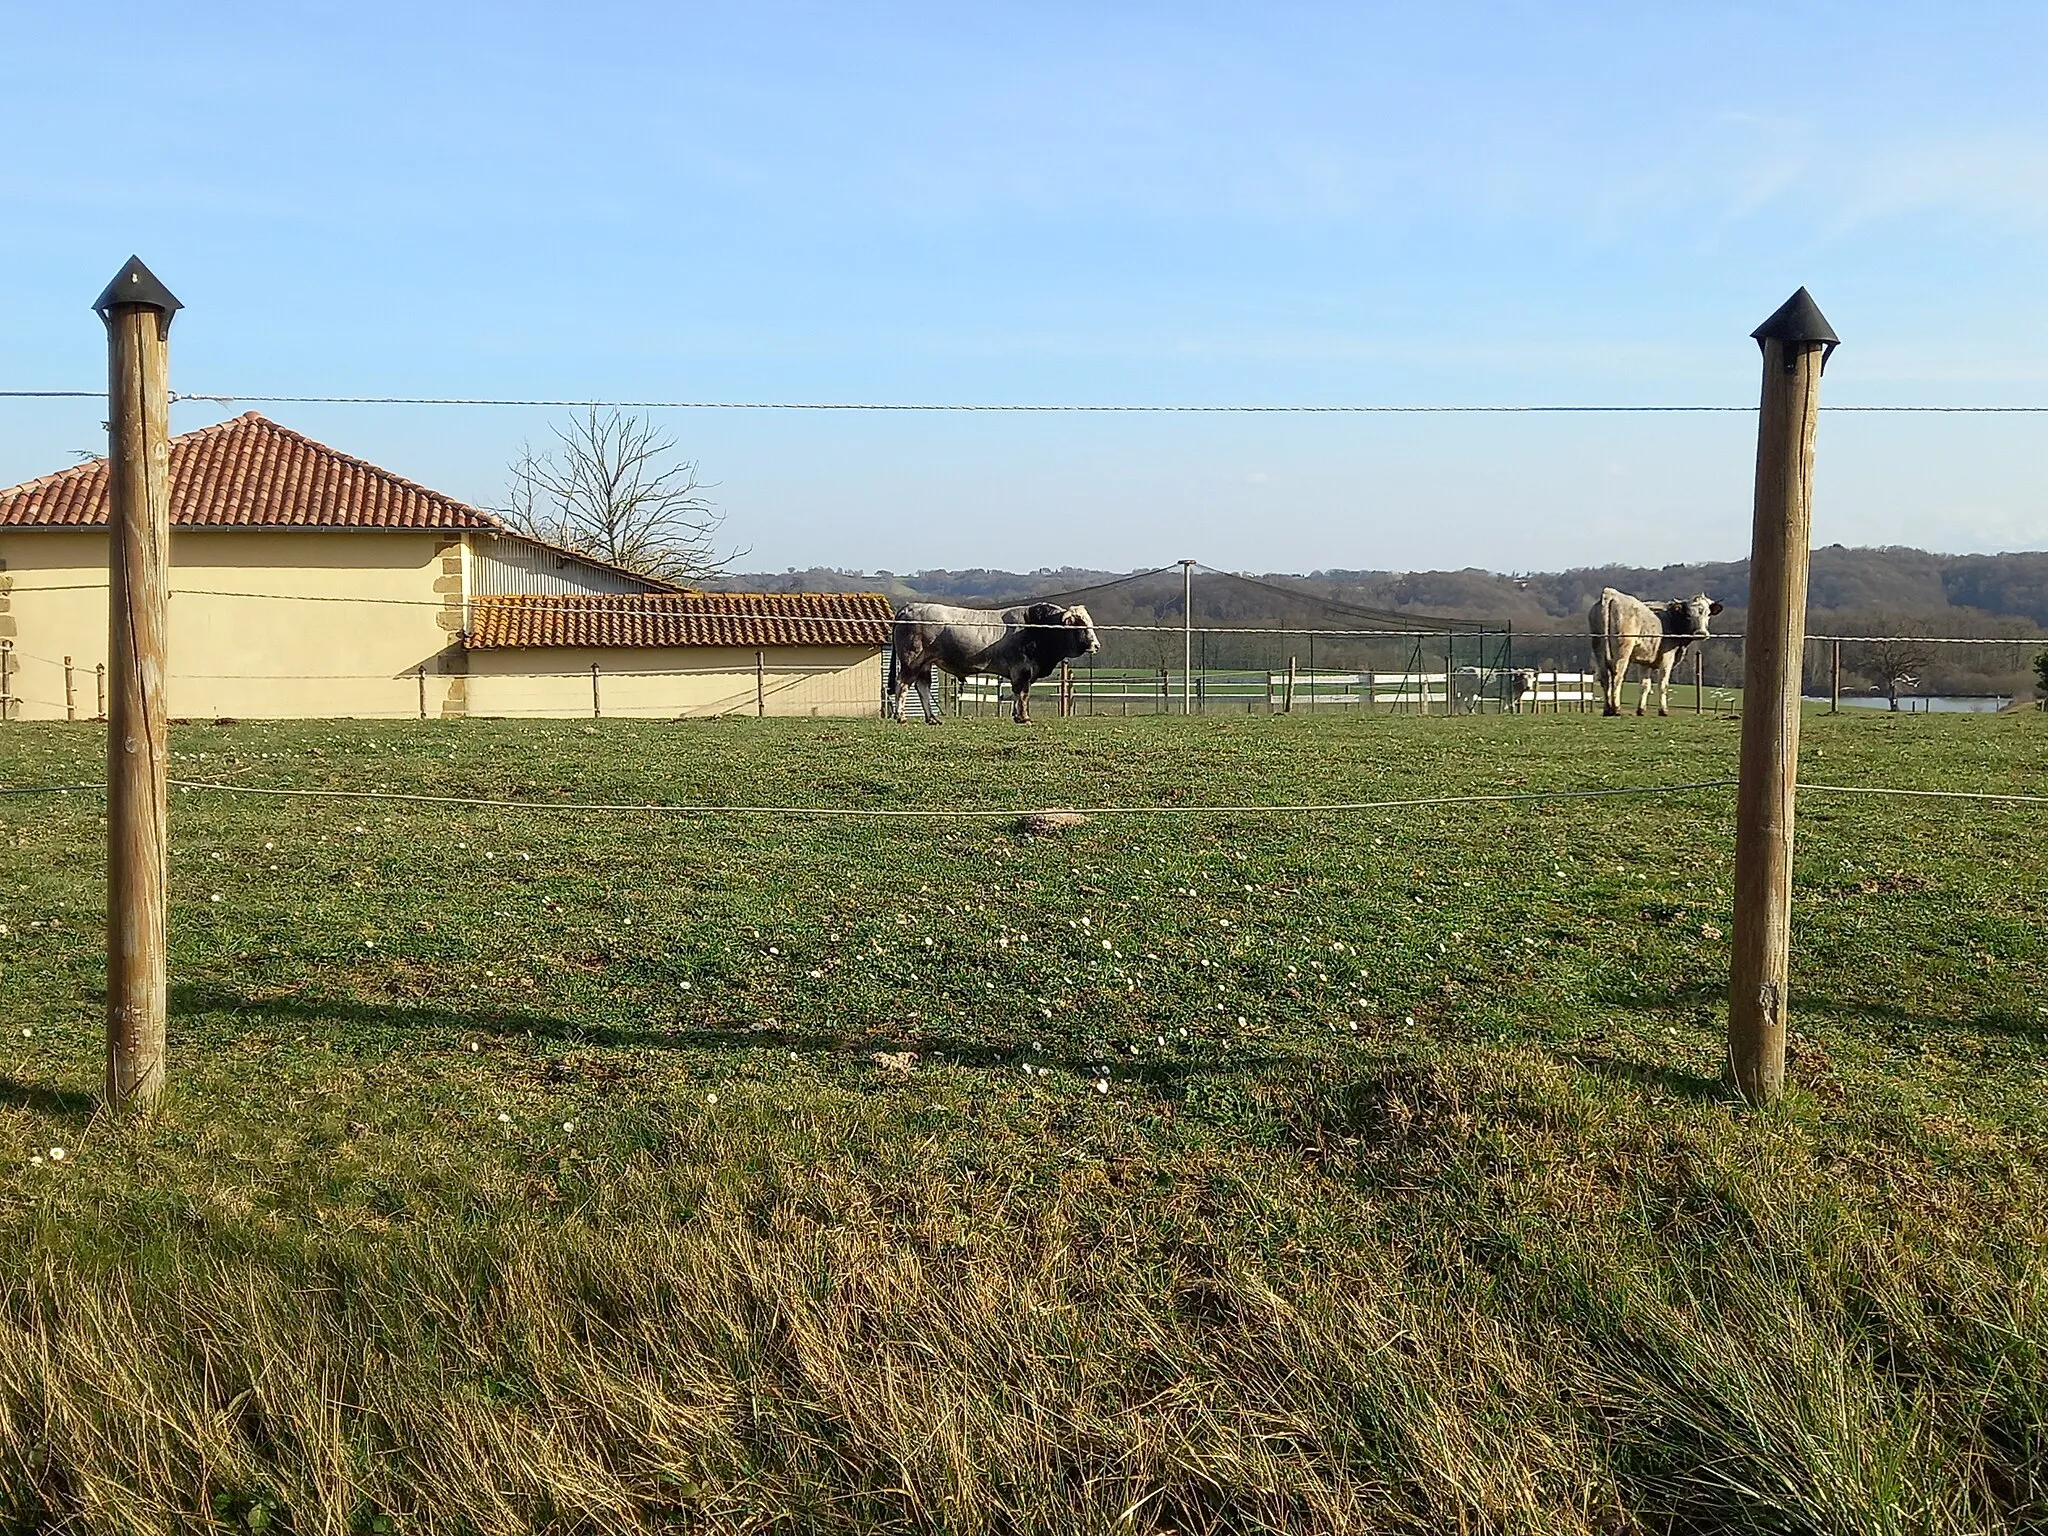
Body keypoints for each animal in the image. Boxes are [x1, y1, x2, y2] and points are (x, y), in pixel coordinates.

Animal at [884, 598, 1097, 724]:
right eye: (1080, 624)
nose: (1096, 645)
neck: (1039, 627)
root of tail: (911, 607)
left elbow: (1016, 694)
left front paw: (1017, 716)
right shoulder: (1022, 669)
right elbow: (1023, 694)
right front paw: (1024, 717)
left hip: (925, 664)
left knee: (923, 688)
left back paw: (932, 718)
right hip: (911, 661)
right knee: (902, 685)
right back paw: (901, 717)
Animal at [1589, 585, 1720, 720]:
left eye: (1708, 614)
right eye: (1688, 615)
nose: (1701, 633)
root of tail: (1611, 594)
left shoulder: (1645, 661)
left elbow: (1644, 686)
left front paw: (1641, 710)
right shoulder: (1667, 658)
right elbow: (1663, 685)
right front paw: (1663, 710)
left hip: (1598, 648)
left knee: (1604, 678)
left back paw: (1607, 709)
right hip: (1622, 651)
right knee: (1617, 677)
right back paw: (1616, 709)